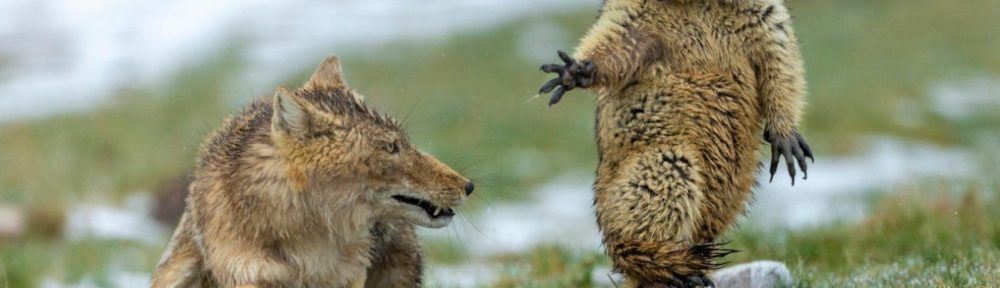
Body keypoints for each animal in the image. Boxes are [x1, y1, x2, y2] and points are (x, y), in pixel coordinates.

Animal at [540, 0, 812, 286]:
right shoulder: (629, 12)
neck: (693, 6)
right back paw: (675, 267)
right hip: (665, 164)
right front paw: (575, 71)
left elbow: (780, 57)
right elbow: (616, 37)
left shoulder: (766, 13)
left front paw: (787, 139)